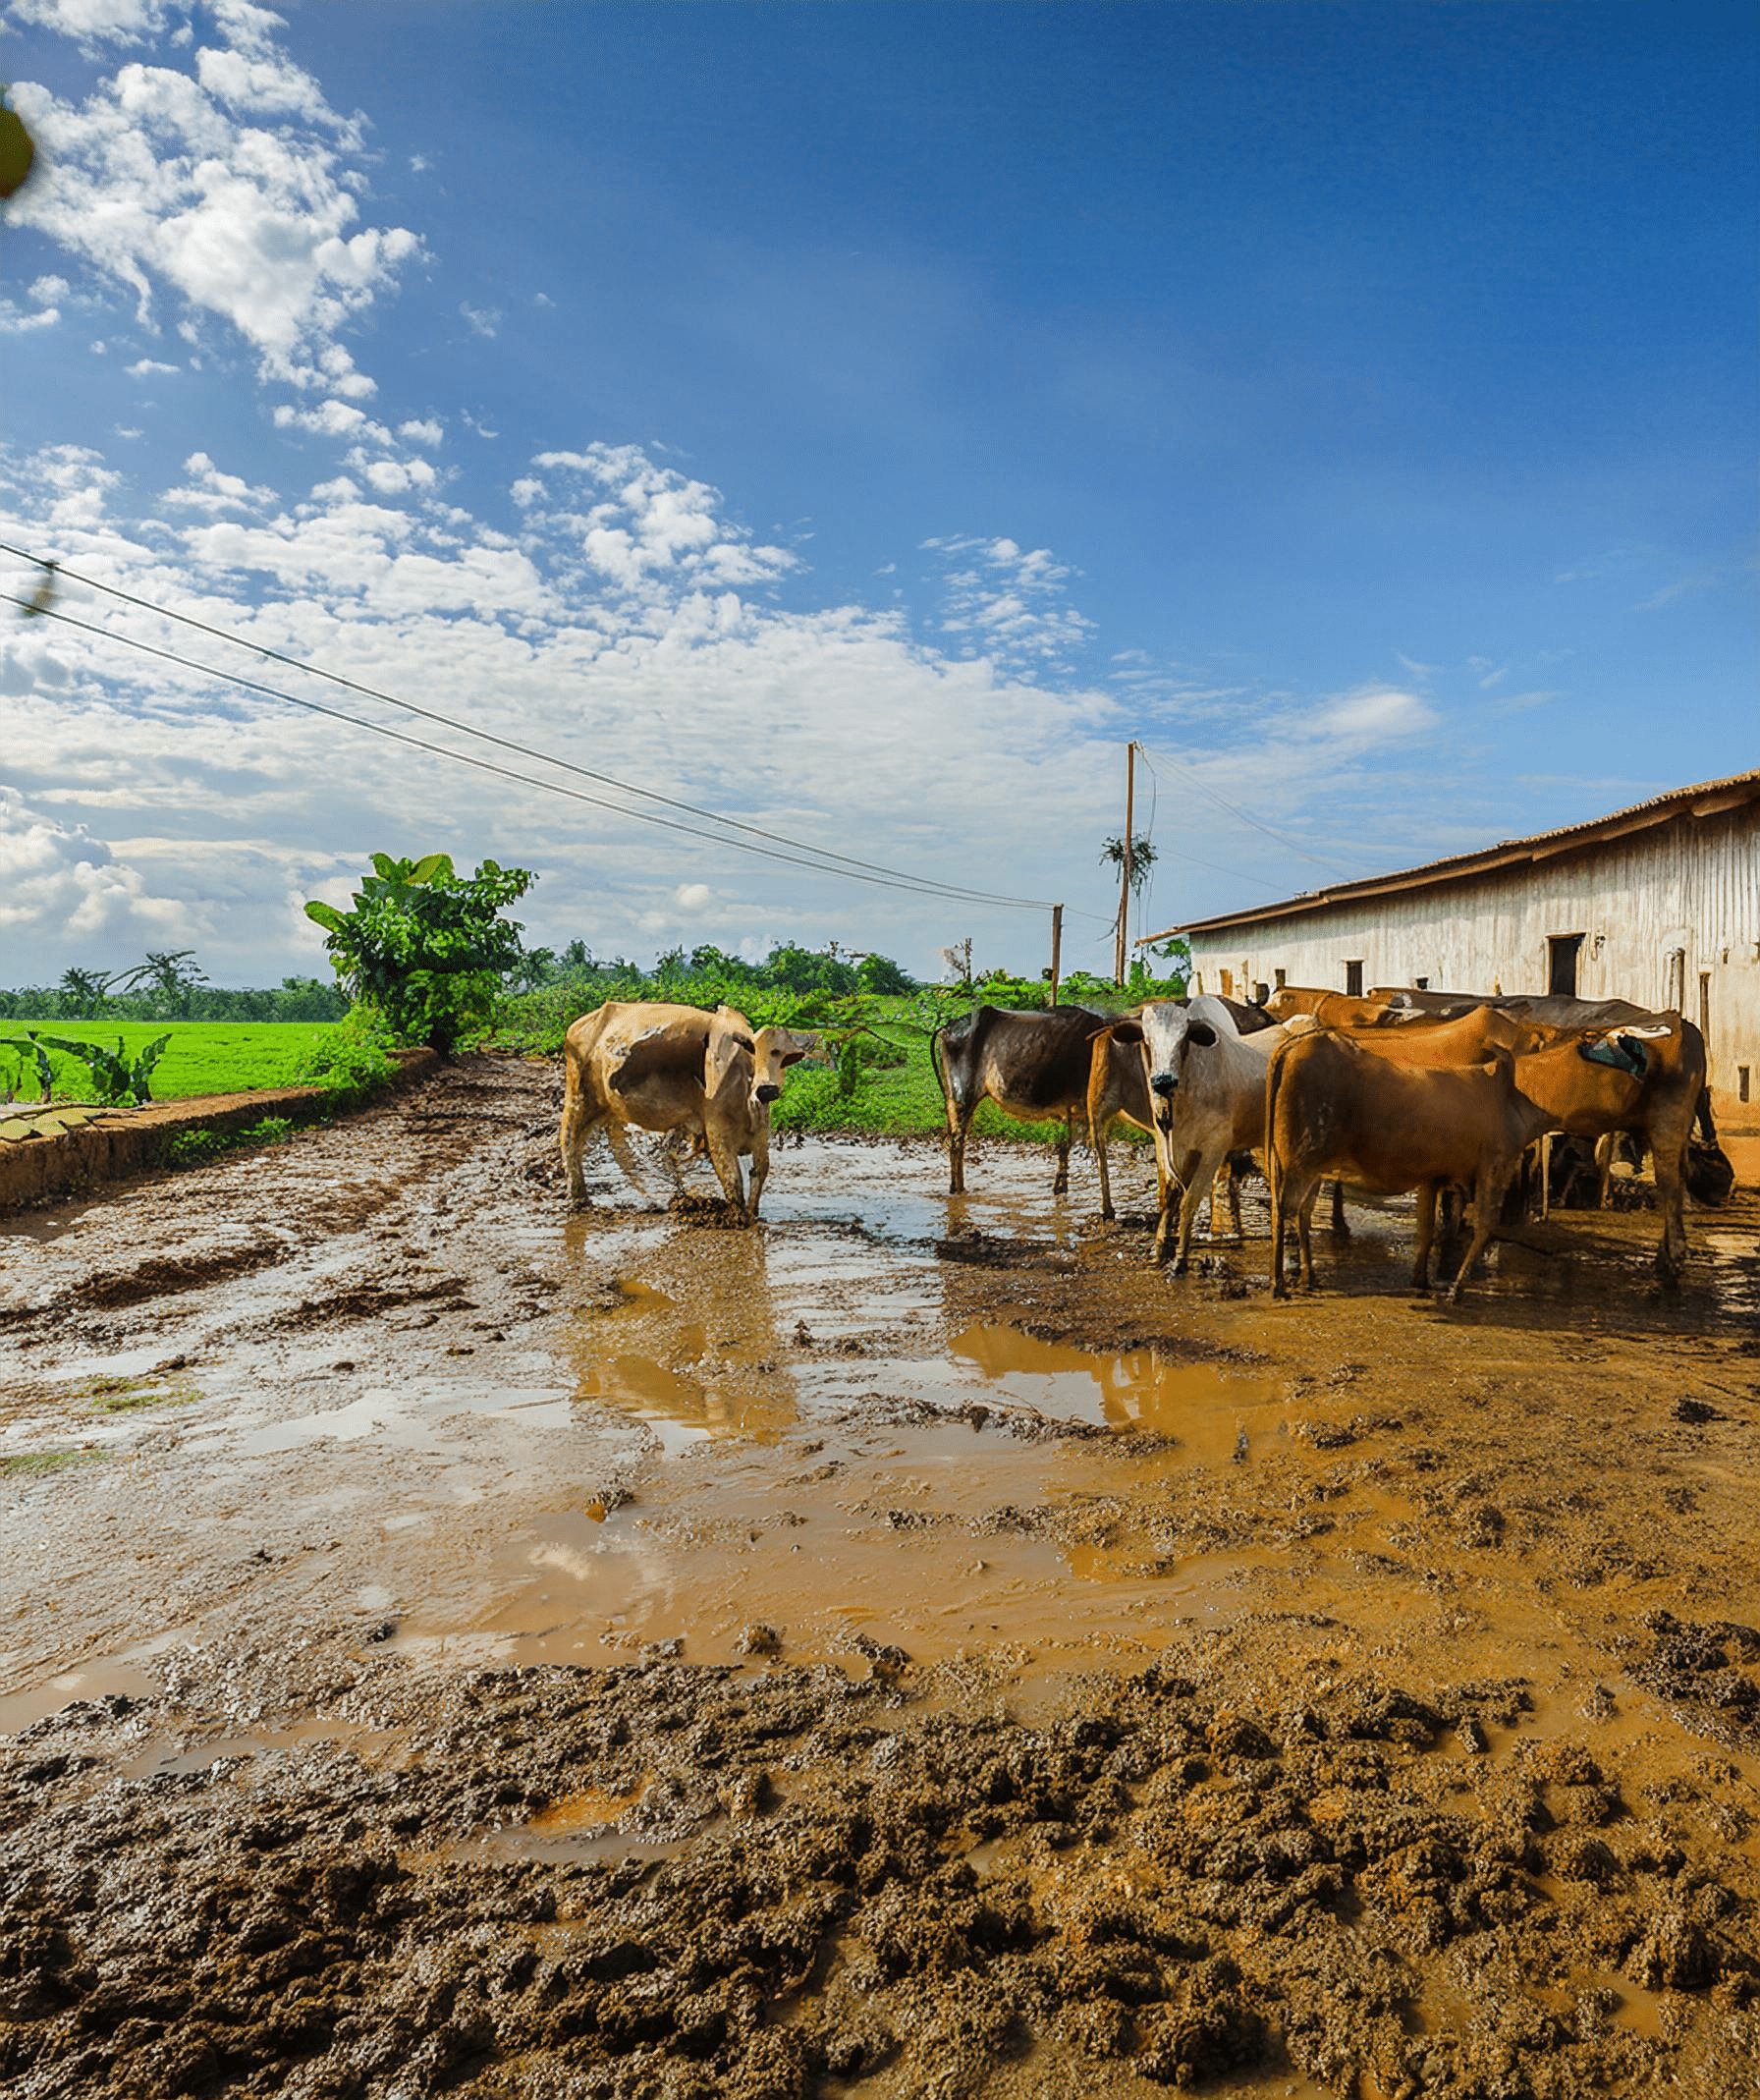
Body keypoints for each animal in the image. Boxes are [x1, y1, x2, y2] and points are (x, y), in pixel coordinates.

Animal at [558, 1003, 818, 1226]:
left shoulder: (761, 1136)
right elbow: (733, 1180)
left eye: (783, 1058)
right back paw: (580, 1200)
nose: (767, 1089)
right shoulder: (718, 1136)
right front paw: (739, 1220)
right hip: (577, 1099)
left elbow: (759, 1173)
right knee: (570, 1144)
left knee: (618, 1150)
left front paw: (753, 1215)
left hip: (611, 1111)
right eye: (753, 1051)